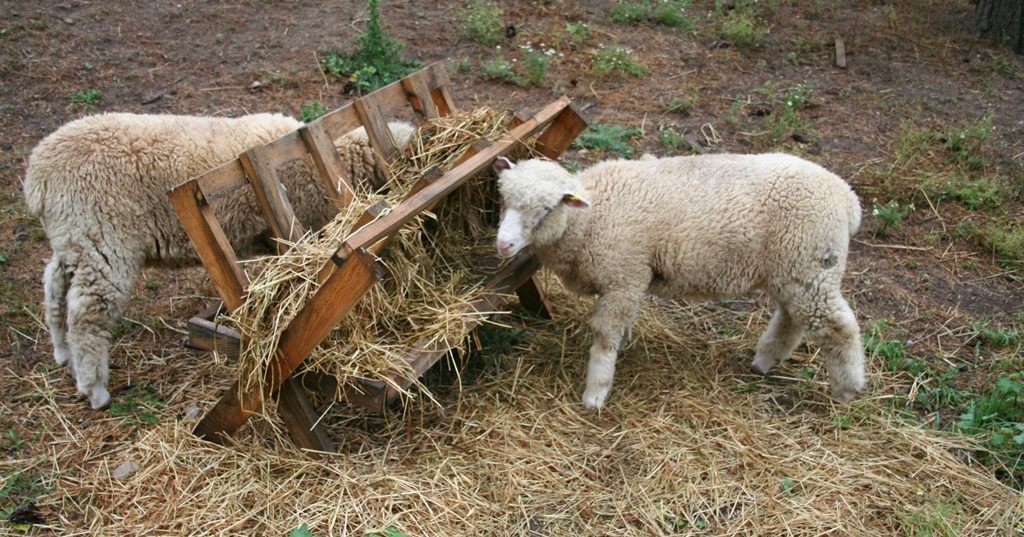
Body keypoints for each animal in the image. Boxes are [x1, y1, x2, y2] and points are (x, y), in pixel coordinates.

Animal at [23, 112, 416, 409]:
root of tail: (37, 176)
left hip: (73, 241)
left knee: (54, 290)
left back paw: (64, 357)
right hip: (102, 240)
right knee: (86, 318)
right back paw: (95, 390)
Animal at [492, 153, 865, 409]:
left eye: (545, 209)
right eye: (504, 200)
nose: (503, 245)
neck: (592, 217)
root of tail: (848, 198)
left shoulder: (623, 276)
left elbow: (603, 336)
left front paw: (595, 392)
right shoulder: (632, 277)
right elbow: (623, 323)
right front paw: (624, 343)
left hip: (811, 264)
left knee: (838, 327)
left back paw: (846, 390)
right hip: (793, 270)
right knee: (792, 318)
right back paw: (765, 361)